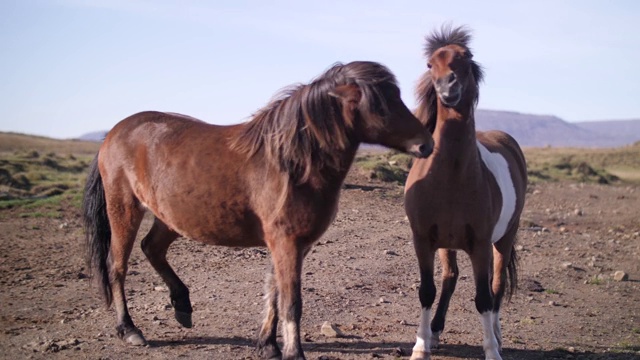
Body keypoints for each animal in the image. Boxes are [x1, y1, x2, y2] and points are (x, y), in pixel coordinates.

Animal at [82, 60, 432, 358]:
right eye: (381, 105)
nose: (426, 144)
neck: (292, 163)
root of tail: (113, 134)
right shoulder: (286, 242)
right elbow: (291, 302)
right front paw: (293, 353)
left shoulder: (293, 245)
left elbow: (274, 292)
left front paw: (268, 345)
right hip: (124, 210)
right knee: (117, 266)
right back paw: (129, 329)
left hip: (168, 218)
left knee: (151, 248)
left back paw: (182, 306)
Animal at [404, 26, 524, 360]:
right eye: (431, 64)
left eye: (466, 59)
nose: (448, 88)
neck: (451, 177)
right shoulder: (423, 239)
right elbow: (427, 291)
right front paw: (421, 346)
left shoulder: (480, 244)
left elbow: (484, 297)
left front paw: (492, 350)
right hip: (448, 243)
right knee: (450, 279)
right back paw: (435, 333)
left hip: (503, 239)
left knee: (496, 288)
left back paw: (497, 336)